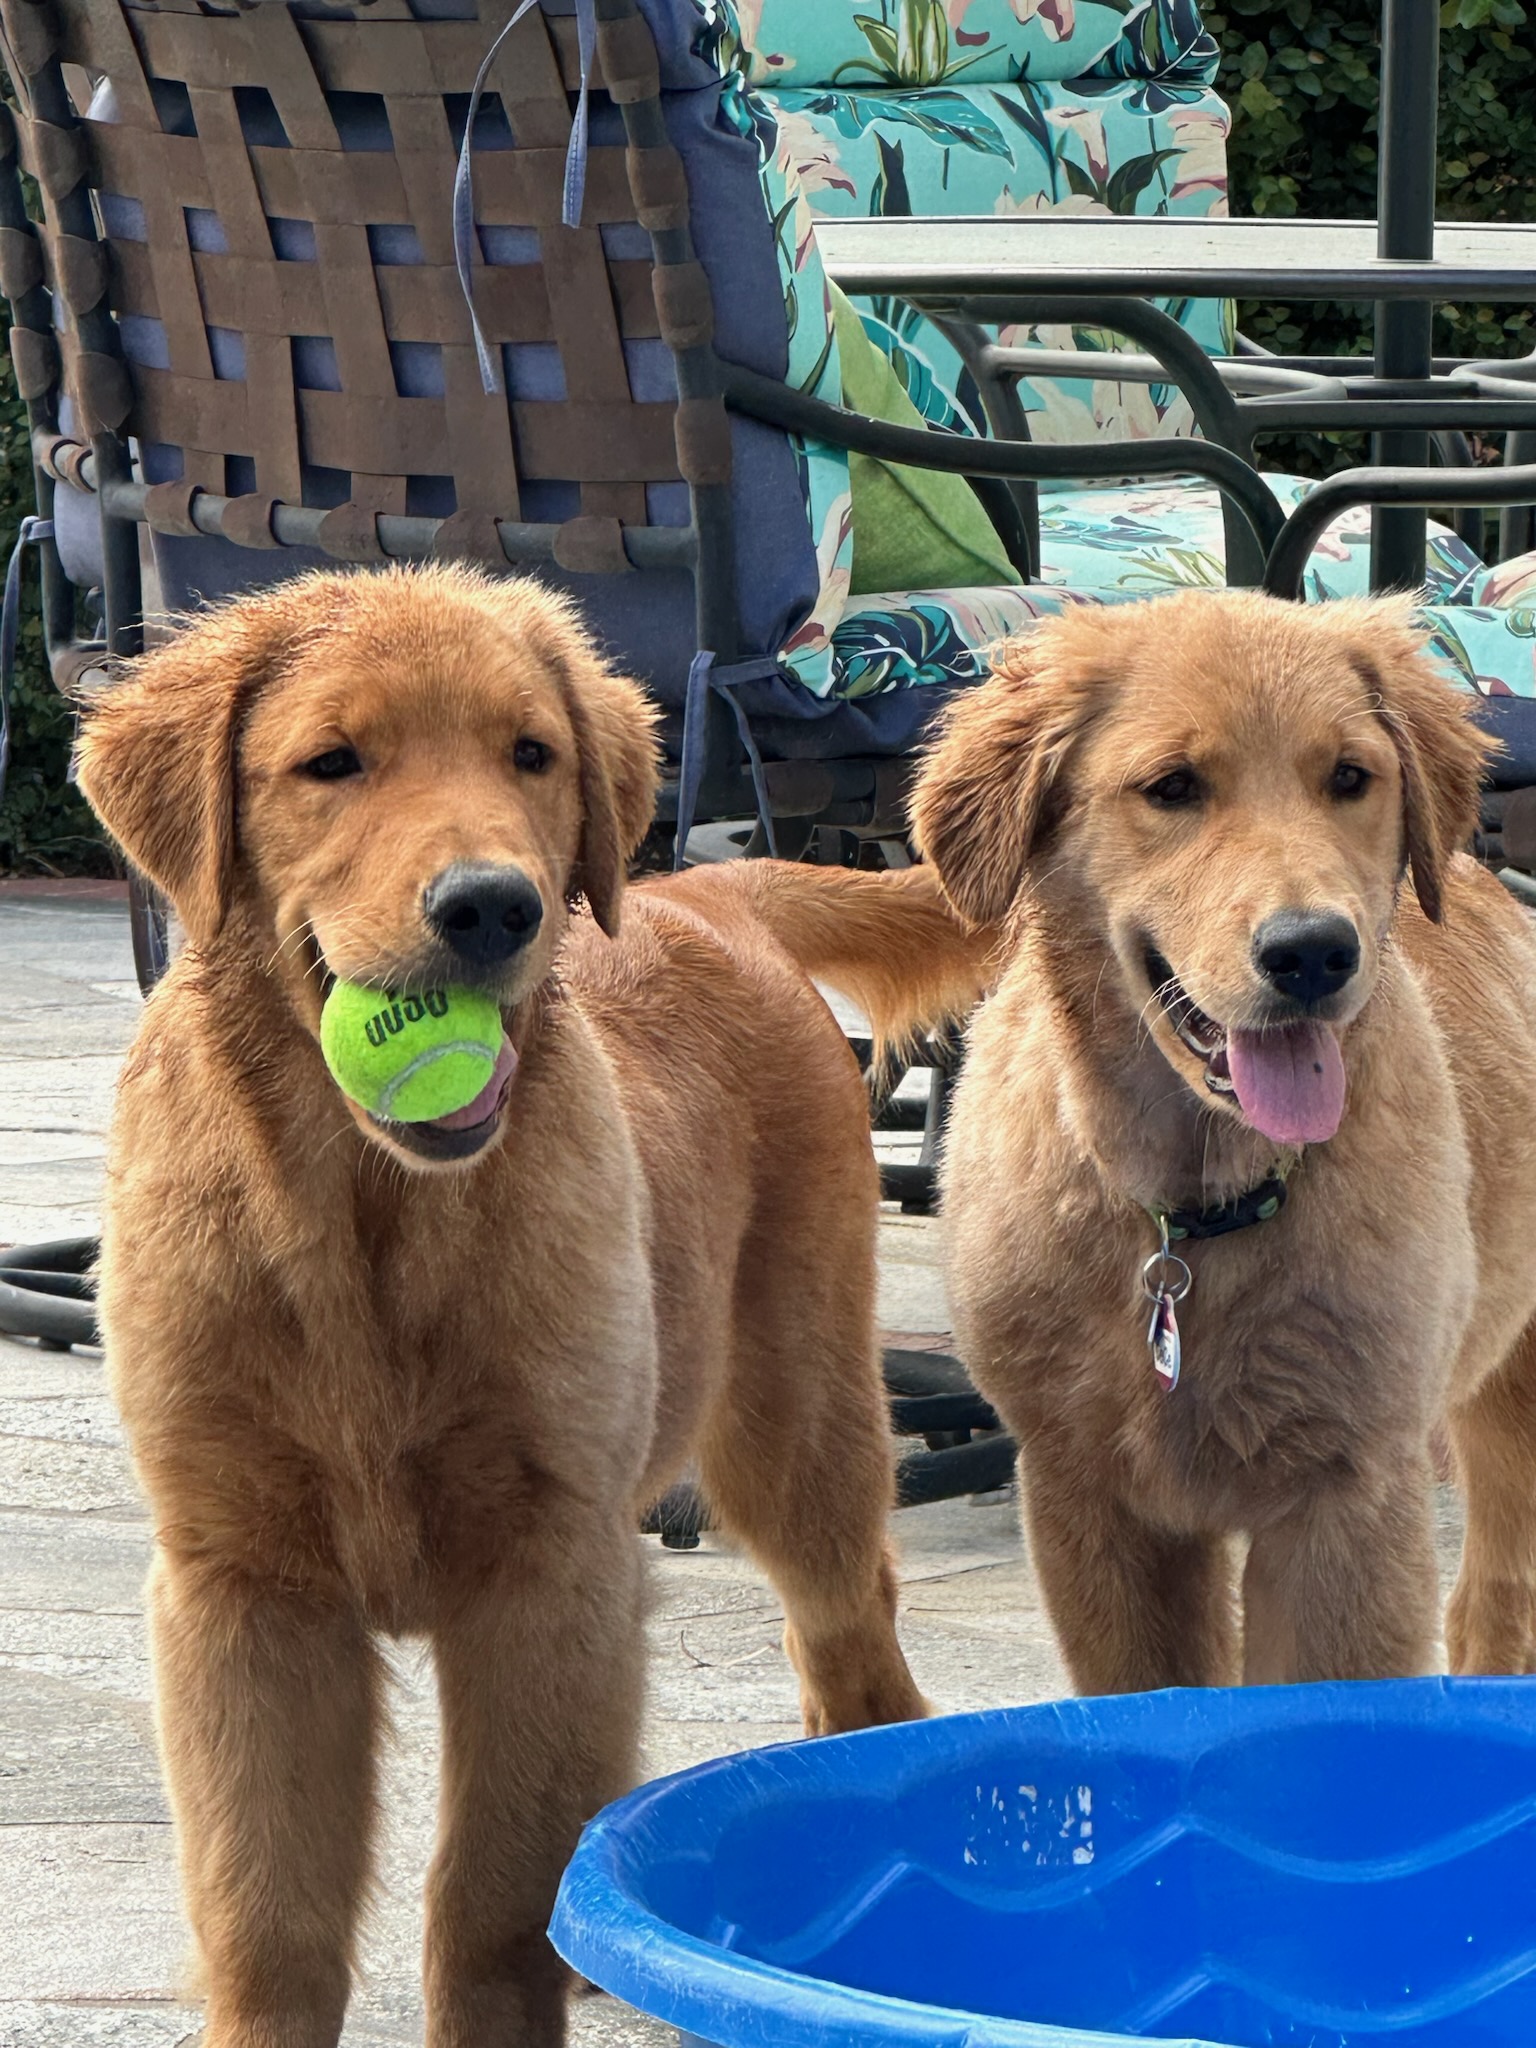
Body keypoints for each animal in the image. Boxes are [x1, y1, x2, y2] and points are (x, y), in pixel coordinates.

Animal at [75, 569, 987, 2048]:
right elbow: (268, 1916)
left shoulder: (547, 1567)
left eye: (530, 755)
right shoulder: (238, 1585)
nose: (494, 908)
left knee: (859, 1655)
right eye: (333, 763)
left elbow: (490, 1904)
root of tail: (702, 886)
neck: (364, 1216)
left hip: (794, 1424)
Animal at [909, 589, 1536, 1695]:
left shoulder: (1350, 1499)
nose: (1312, 953)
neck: (1193, 1216)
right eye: (1173, 787)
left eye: (1349, 778)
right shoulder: (1089, 1501)